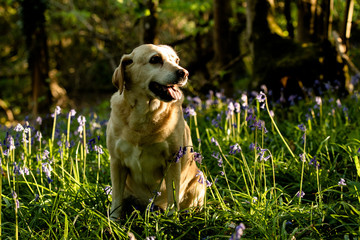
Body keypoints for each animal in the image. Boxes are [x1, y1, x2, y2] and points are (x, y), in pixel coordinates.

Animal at [106, 44, 205, 219]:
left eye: (177, 60)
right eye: (155, 59)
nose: (184, 73)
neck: (144, 114)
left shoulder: (172, 159)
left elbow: (173, 195)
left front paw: (172, 218)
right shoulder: (117, 161)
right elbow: (117, 198)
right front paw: (113, 220)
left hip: (200, 181)